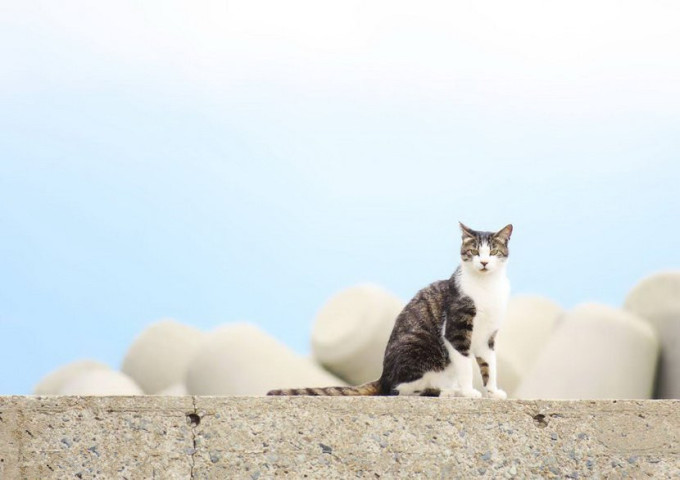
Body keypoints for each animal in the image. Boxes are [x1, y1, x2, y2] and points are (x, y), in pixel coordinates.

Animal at [268, 223, 512, 400]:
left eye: (493, 251)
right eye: (473, 251)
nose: (483, 262)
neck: (486, 286)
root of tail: (383, 376)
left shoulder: (488, 337)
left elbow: (489, 366)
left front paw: (493, 392)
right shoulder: (455, 330)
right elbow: (466, 365)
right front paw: (469, 391)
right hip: (418, 345)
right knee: (401, 389)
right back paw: (448, 391)